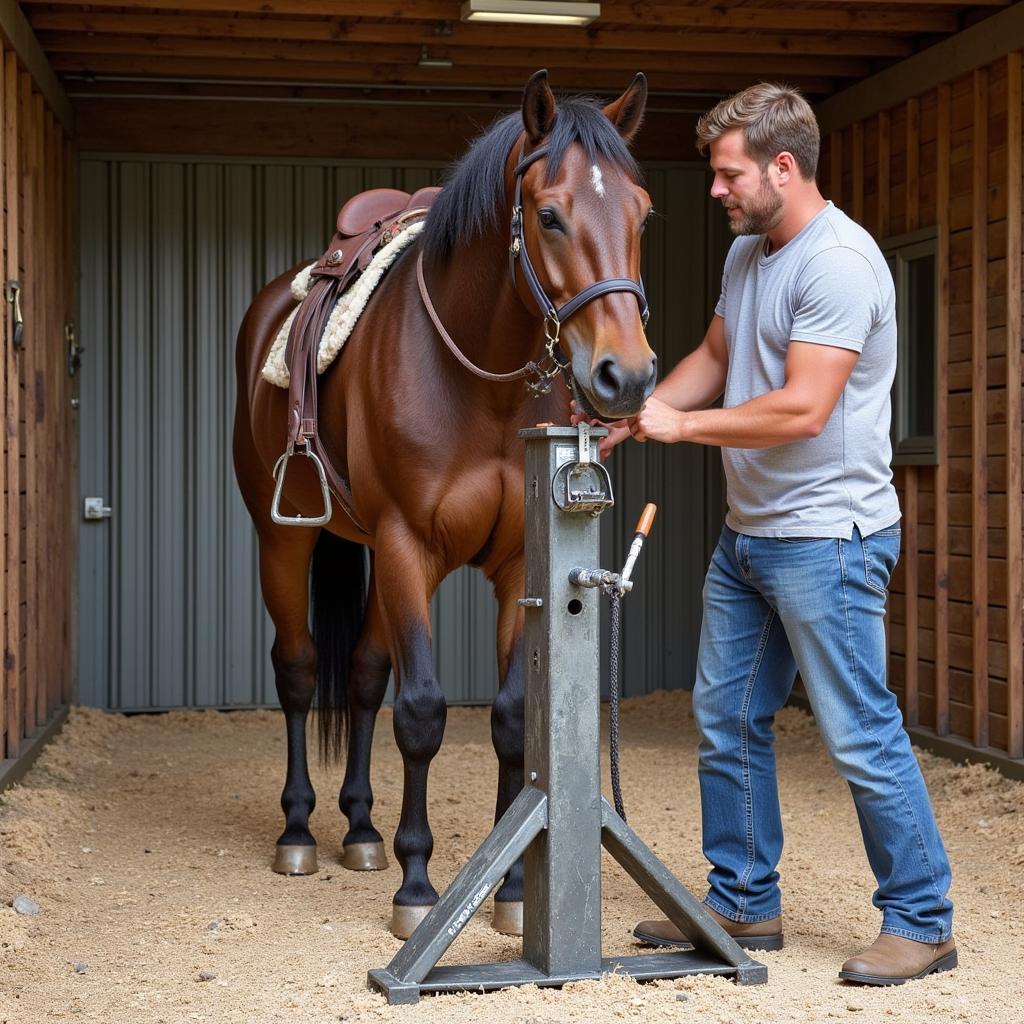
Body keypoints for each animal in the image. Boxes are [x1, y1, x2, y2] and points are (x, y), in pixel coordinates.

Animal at [232, 68, 655, 937]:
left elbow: (512, 719)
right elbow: (423, 712)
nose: (624, 377)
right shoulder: (407, 548)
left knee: (362, 674)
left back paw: (361, 830)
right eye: (550, 214)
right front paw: (420, 887)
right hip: (283, 539)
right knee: (299, 671)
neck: (476, 379)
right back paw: (299, 833)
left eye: (642, 212)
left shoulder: (519, 562)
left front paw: (515, 890)